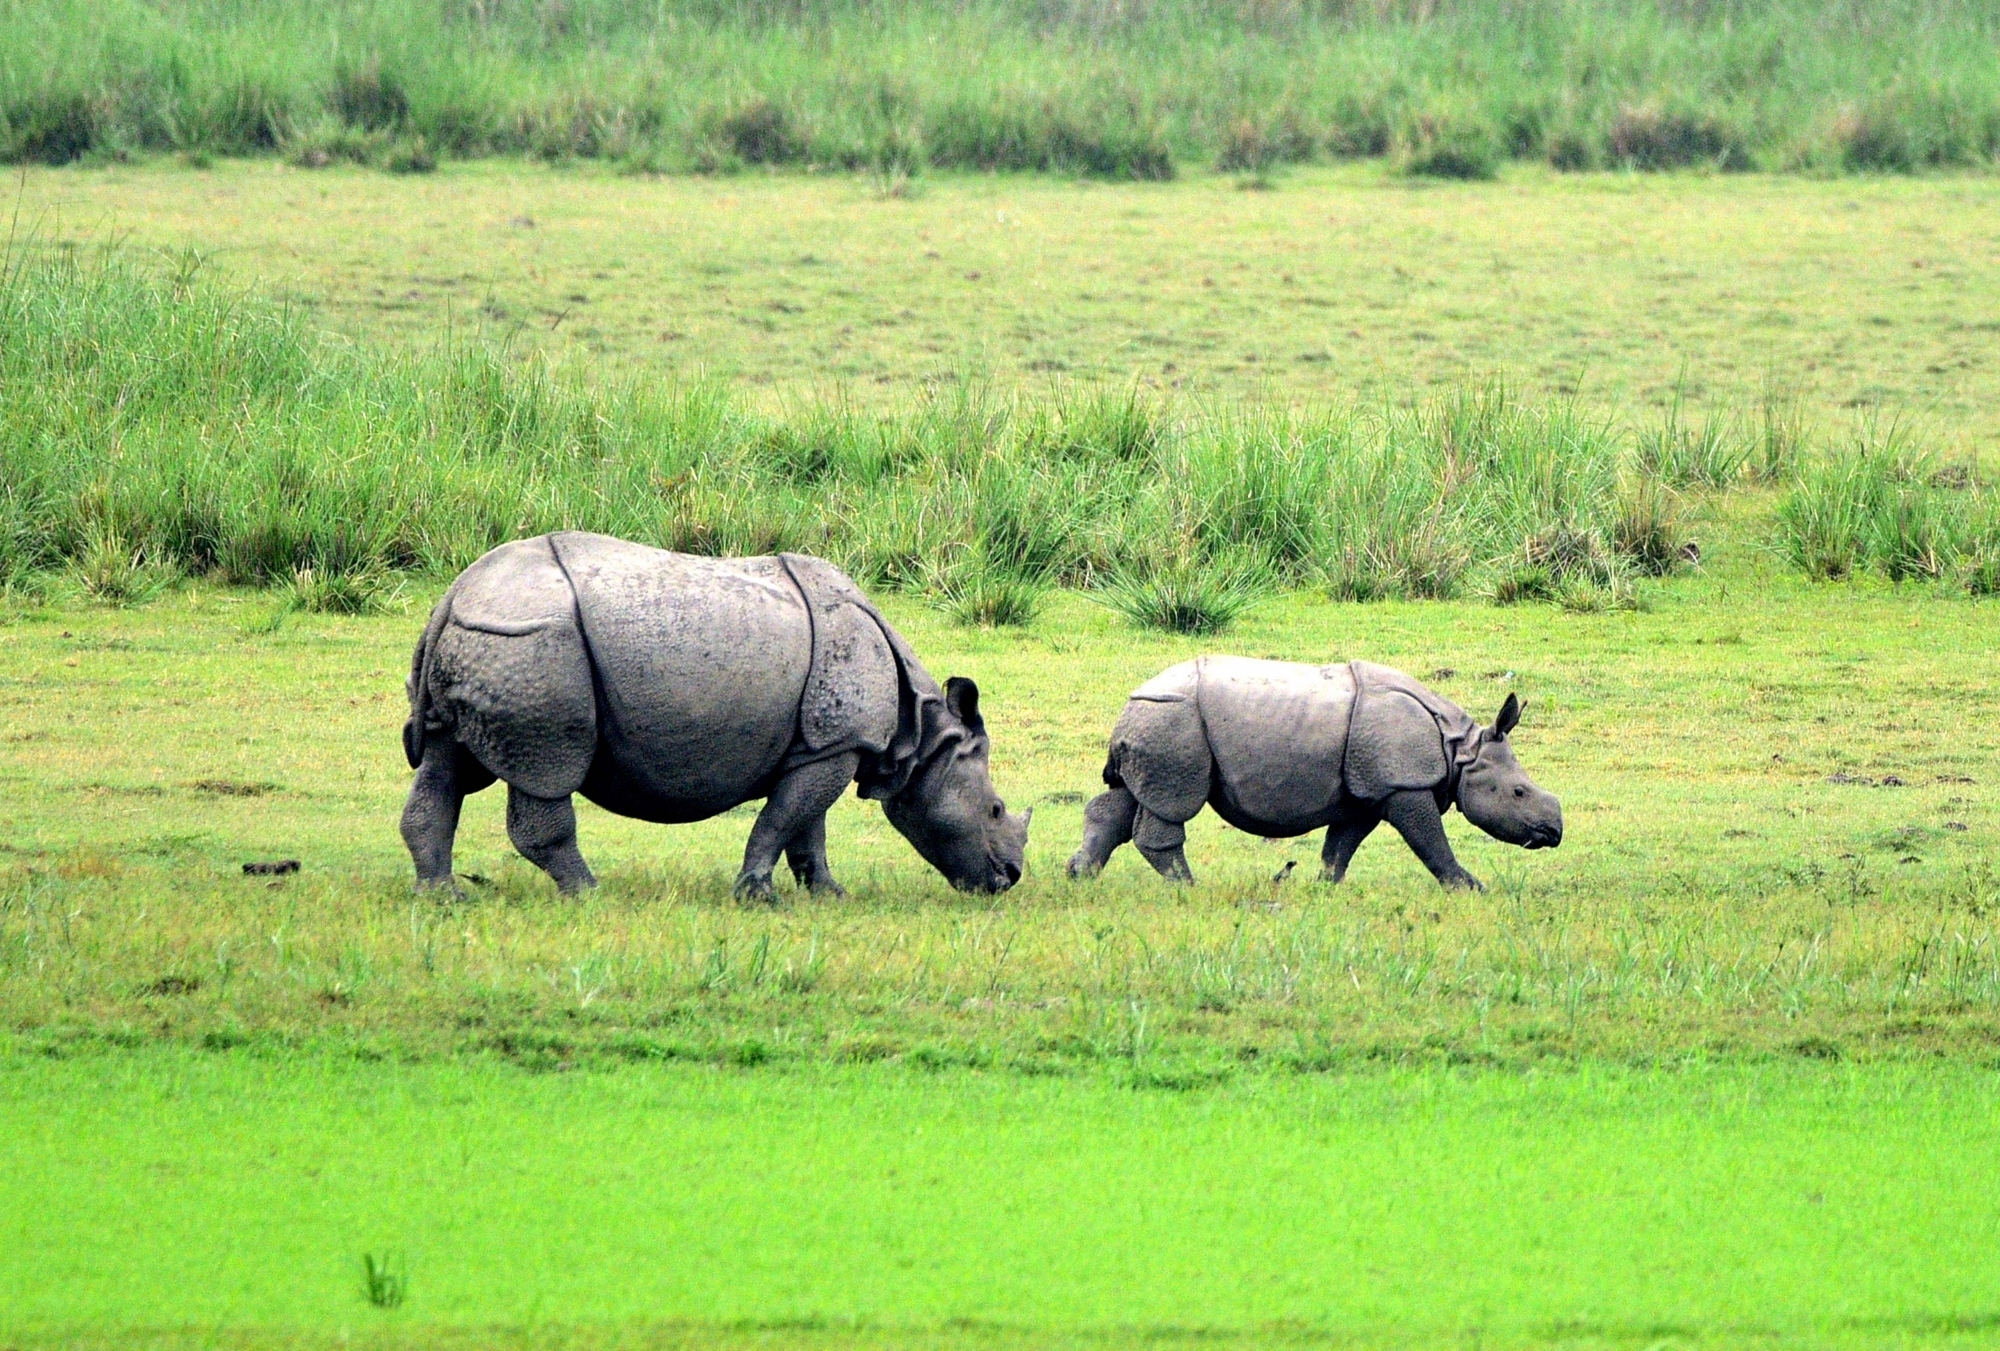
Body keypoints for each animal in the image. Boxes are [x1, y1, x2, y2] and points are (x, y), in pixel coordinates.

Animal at [404, 531, 1032, 903]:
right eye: (996, 809)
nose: (1009, 879)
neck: (922, 734)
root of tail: (453, 596)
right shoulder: (837, 743)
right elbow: (782, 820)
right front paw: (758, 897)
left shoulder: (823, 745)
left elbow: (808, 828)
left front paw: (829, 896)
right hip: (533, 645)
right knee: (548, 770)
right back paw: (589, 893)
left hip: (488, 642)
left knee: (444, 764)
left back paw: (443, 897)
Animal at [1072, 655, 1552, 887]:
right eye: (1519, 793)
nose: (1555, 832)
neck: (1459, 750)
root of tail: (1131, 701)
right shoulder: (1401, 784)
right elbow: (1430, 840)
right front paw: (1470, 888)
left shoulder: (1366, 794)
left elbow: (1341, 845)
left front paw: (1324, 888)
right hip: (1175, 721)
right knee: (1171, 805)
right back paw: (1187, 887)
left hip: (1156, 722)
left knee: (1129, 796)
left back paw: (1080, 875)